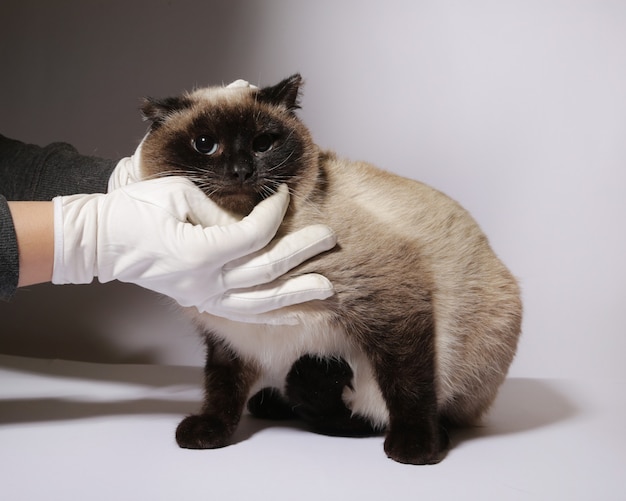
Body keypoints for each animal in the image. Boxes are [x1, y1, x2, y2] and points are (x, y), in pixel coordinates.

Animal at [138, 74, 520, 464]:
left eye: (263, 144)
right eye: (205, 144)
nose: (241, 172)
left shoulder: (392, 302)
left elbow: (408, 384)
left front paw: (416, 447)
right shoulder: (228, 331)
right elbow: (220, 388)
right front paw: (209, 432)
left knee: (368, 413)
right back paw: (273, 402)